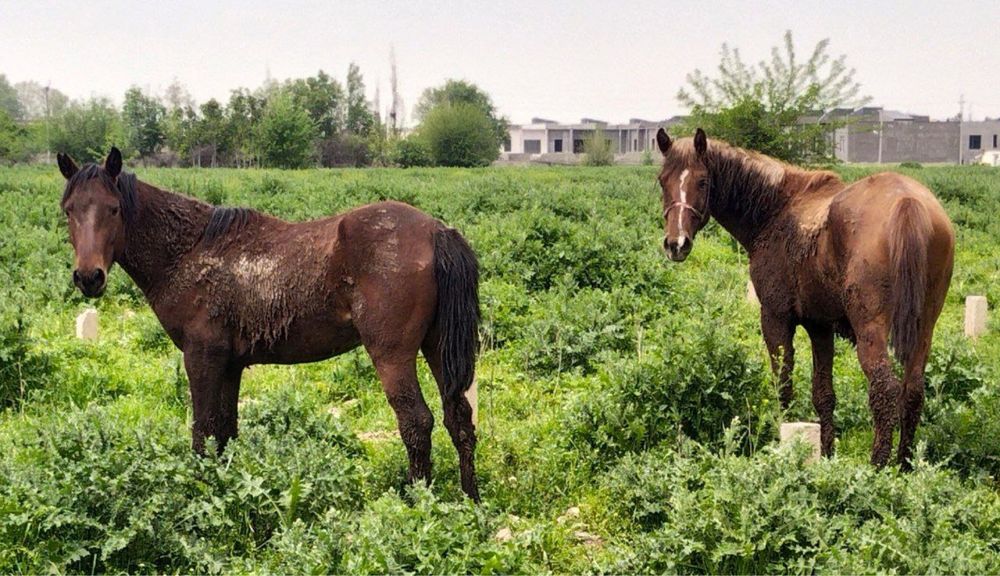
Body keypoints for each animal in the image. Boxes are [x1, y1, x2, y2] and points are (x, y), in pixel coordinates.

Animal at [56, 147, 482, 500]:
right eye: (69, 210)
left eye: (113, 208)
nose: (89, 277)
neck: (188, 251)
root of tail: (436, 231)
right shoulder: (229, 365)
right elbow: (225, 431)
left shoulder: (201, 358)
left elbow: (202, 431)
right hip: (437, 347)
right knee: (458, 418)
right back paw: (469, 501)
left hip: (392, 355)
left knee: (416, 422)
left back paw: (415, 502)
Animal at [656, 129, 952, 468]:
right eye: (662, 180)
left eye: (703, 181)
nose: (676, 243)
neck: (776, 210)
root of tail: (907, 201)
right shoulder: (820, 326)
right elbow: (824, 395)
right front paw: (826, 454)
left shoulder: (775, 318)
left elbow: (783, 386)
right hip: (923, 329)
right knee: (912, 390)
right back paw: (903, 465)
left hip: (871, 330)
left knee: (885, 389)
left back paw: (878, 466)